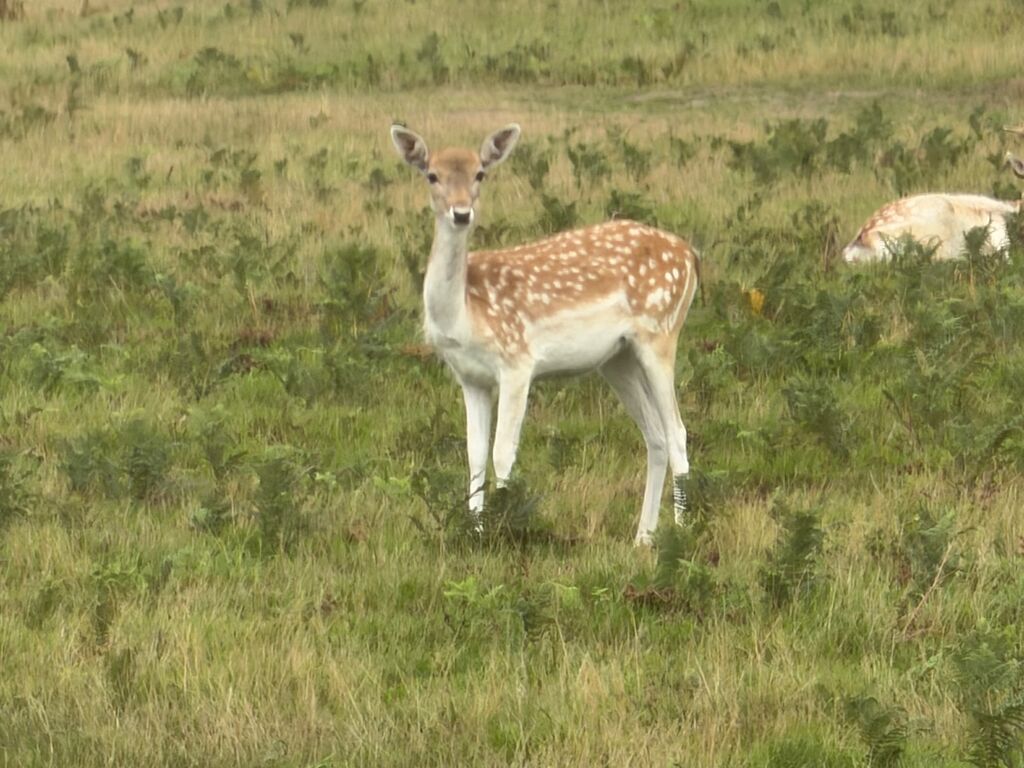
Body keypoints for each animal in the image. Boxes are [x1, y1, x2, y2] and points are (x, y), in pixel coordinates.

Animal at [390, 123, 700, 545]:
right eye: (432, 175)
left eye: (480, 174)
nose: (461, 213)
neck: (465, 314)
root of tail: (691, 256)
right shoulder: (469, 377)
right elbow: (474, 456)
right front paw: (475, 534)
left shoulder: (517, 360)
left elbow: (502, 453)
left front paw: (503, 533)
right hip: (617, 359)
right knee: (655, 436)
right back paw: (642, 539)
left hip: (661, 331)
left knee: (678, 432)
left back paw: (679, 535)